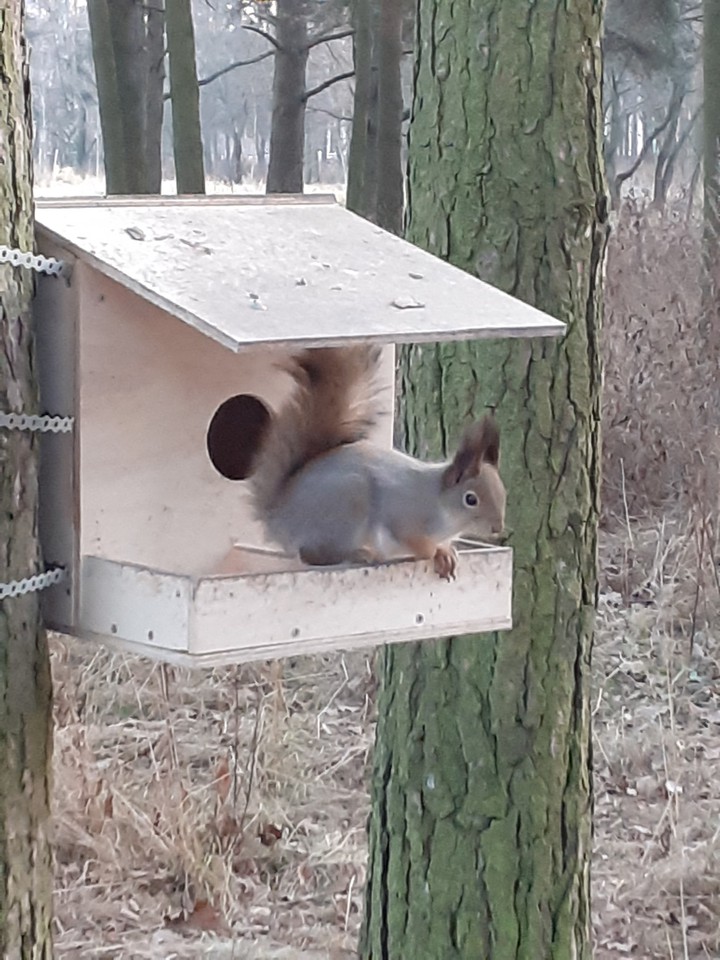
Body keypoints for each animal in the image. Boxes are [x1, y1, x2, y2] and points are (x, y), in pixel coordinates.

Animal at [249, 345, 506, 580]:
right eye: (470, 499)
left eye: (503, 494)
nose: (498, 529)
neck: (442, 506)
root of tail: (278, 516)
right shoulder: (404, 515)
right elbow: (414, 542)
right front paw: (434, 552)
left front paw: (446, 552)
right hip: (347, 505)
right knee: (313, 555)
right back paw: (360, 554)